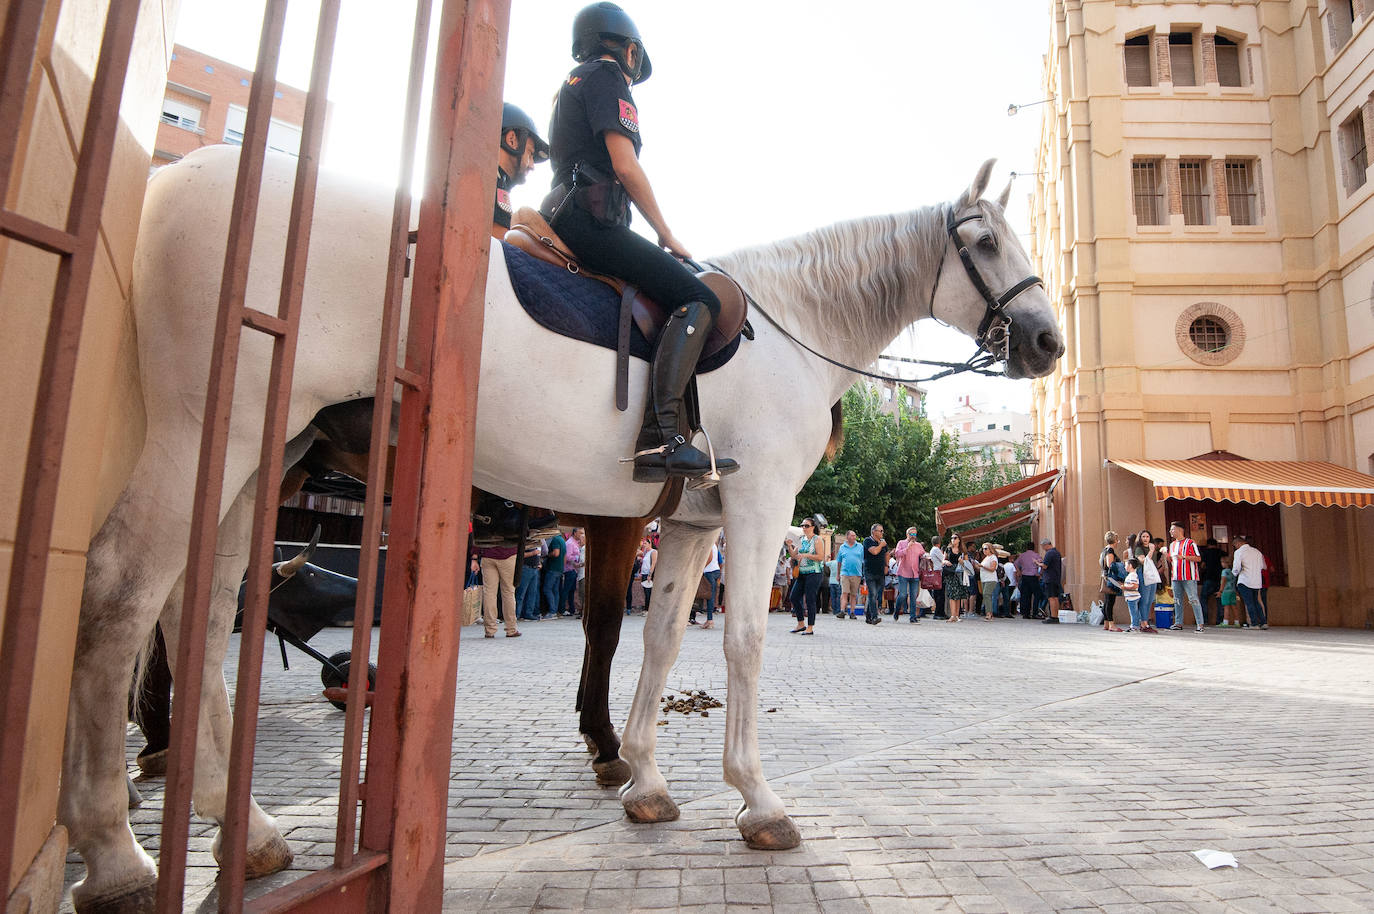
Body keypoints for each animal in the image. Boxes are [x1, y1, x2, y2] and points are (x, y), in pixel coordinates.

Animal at [61, 146, 1060, 907]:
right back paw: (114, 851)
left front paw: (646, 779)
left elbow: (659, 640)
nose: (1049, 341)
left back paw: (245, 829)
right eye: (982, 241)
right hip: (214, 433)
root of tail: (179, 174)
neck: (789, 330)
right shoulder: (756, 509)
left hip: (264, 455)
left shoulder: (689, 525)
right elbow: (739, 640)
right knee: (119, 591)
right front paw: (756, 797)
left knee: (202, 606)